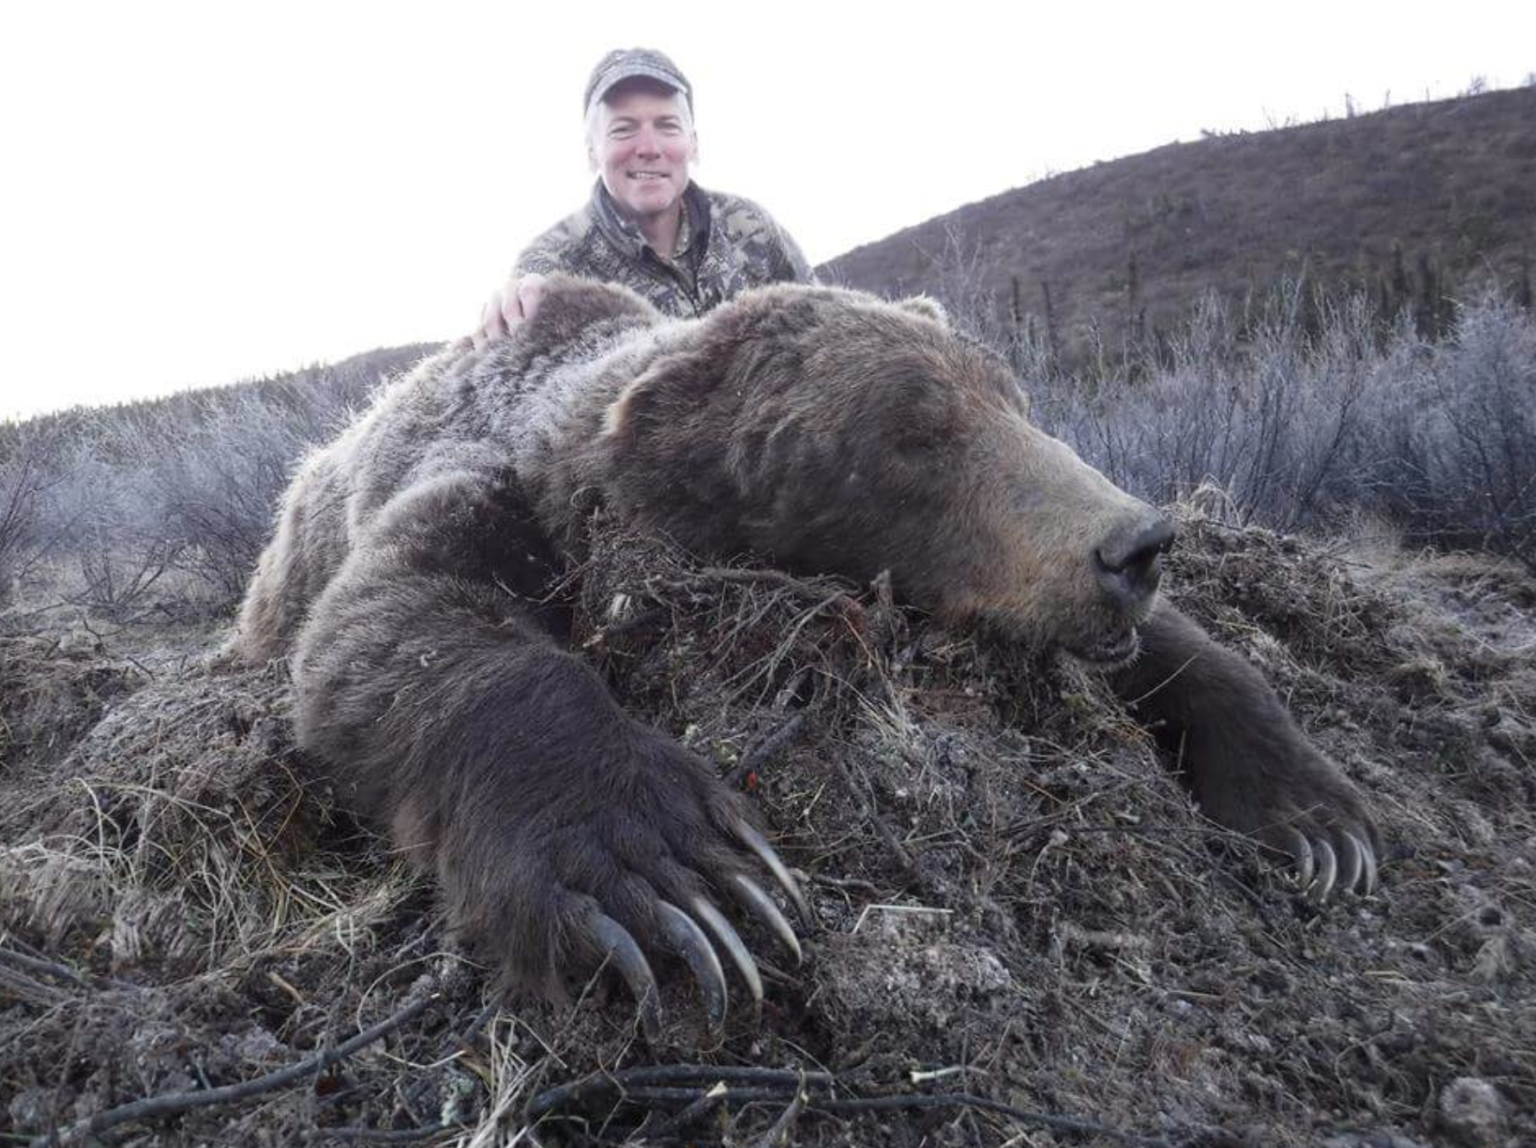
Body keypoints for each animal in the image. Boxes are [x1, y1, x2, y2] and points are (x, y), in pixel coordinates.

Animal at [229, 275, 1379, 1035]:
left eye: (1016, 400)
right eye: (915, 433)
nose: (1135, 543)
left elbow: (1184, 655)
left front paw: (1316, 814)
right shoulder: (484, 488)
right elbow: (378, 631)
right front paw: (677, 873)